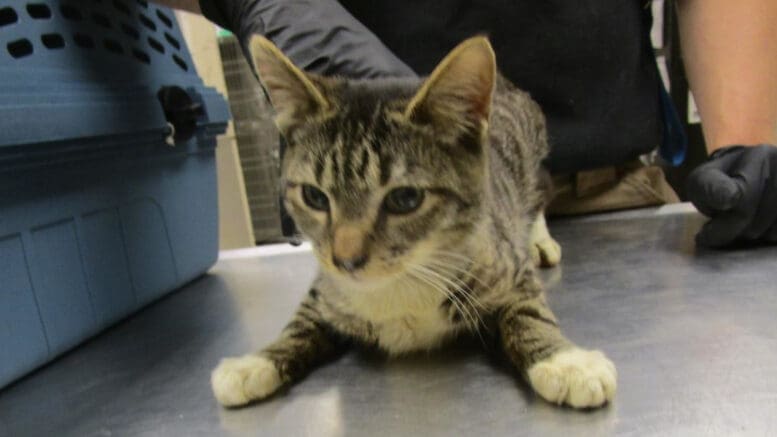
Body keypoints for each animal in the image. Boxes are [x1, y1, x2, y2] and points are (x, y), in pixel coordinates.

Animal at [209, 35, 616, 408]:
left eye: (405, 199)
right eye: (314, 196)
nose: (346, 260)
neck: (400, 282)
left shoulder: (506, 265)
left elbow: (529, 310)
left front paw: (565, 361)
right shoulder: (326, 286)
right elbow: (301, 319)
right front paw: (257, 362)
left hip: (533, 159)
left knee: (541, 189)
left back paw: (539, 238)